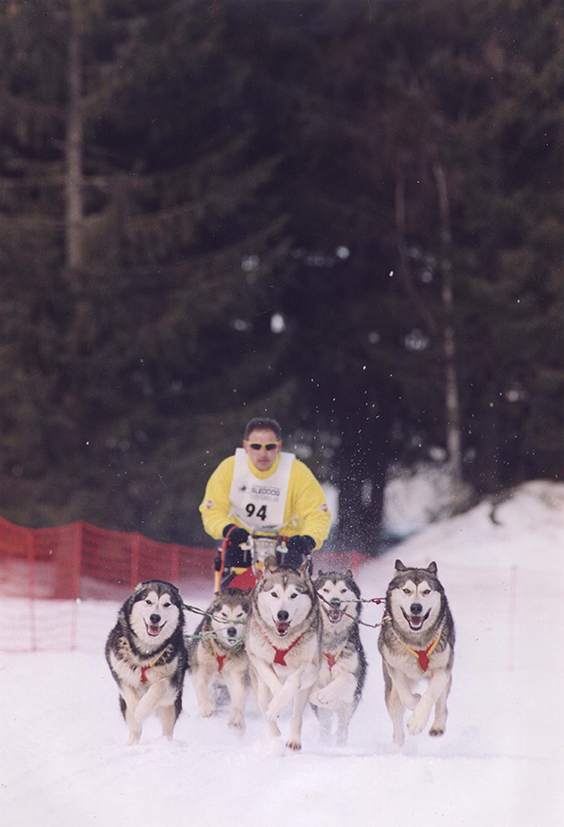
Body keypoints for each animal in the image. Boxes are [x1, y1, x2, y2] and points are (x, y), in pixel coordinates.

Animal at [103, 580, 187, 748]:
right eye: (148, 601)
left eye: (166, 604)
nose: (155, 617)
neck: (145, 651)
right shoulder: (119, 671)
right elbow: (129, 693)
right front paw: (137, 708)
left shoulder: (174, 680)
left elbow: (158, 687)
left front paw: (142, 709)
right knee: (135, 729)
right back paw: (131, 746)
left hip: (172, 705)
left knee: (167, 728)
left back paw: (166, 744)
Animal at [187, 584, 251, 728]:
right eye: (224, 614)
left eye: (239, 614)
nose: (231, 630)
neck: (224, 650)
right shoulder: (201, 666)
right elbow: (201, 684)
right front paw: (206, 706)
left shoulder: (240, 672)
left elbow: (240, 694)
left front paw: (236, 717)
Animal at [246, 556, 322, 752]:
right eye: (274, 594)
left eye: (293, 595)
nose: (282, 614)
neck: (282, 641)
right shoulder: (257, 656)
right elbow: (273, 680)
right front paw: (278, 705)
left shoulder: (311, 666)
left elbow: (293, 681)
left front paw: (281, 702)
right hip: (260, 689)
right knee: (267, 709)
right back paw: (274, 735)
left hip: (304, 690)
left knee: (297, 714)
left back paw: (293, 739)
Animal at [310, 572, 368, 748]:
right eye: (326, 590)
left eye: (343, 590)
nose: (335, 601)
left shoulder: (353, 680)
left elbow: (347, 677)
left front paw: (325, 694)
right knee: (326, 727)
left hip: (348, 708)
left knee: (342, 728)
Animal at [378, 564, 454, 752]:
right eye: (406, 590)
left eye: (426, 591)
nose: (416, 607)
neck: (417, 642)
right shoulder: (395, 668)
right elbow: (407, 697)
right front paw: (415, 701)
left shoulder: (442, 669)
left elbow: (430, 695)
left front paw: (418, 720)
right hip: (390, 692)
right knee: (396, 712)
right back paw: (396, 747)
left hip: (446, 676)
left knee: (441, 703)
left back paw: (437, 726)